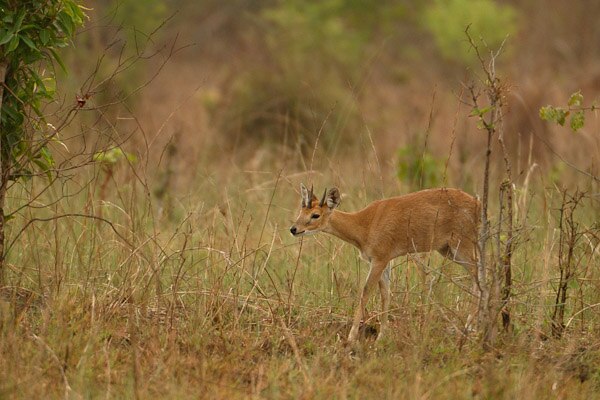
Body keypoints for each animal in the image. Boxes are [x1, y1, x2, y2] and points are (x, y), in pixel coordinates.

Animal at [288, 183, 480, 342]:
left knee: (478, 274)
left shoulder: (379, 260)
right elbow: (385, 294)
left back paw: (468, 326)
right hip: (447, 250)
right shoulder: (384, 261)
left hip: (462, 245)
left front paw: (351, 337)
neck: (365, 225)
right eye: (301, 211)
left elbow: (365, 292)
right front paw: (382, 335)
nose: (294, 229)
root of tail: (476, 203)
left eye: (315, 215)